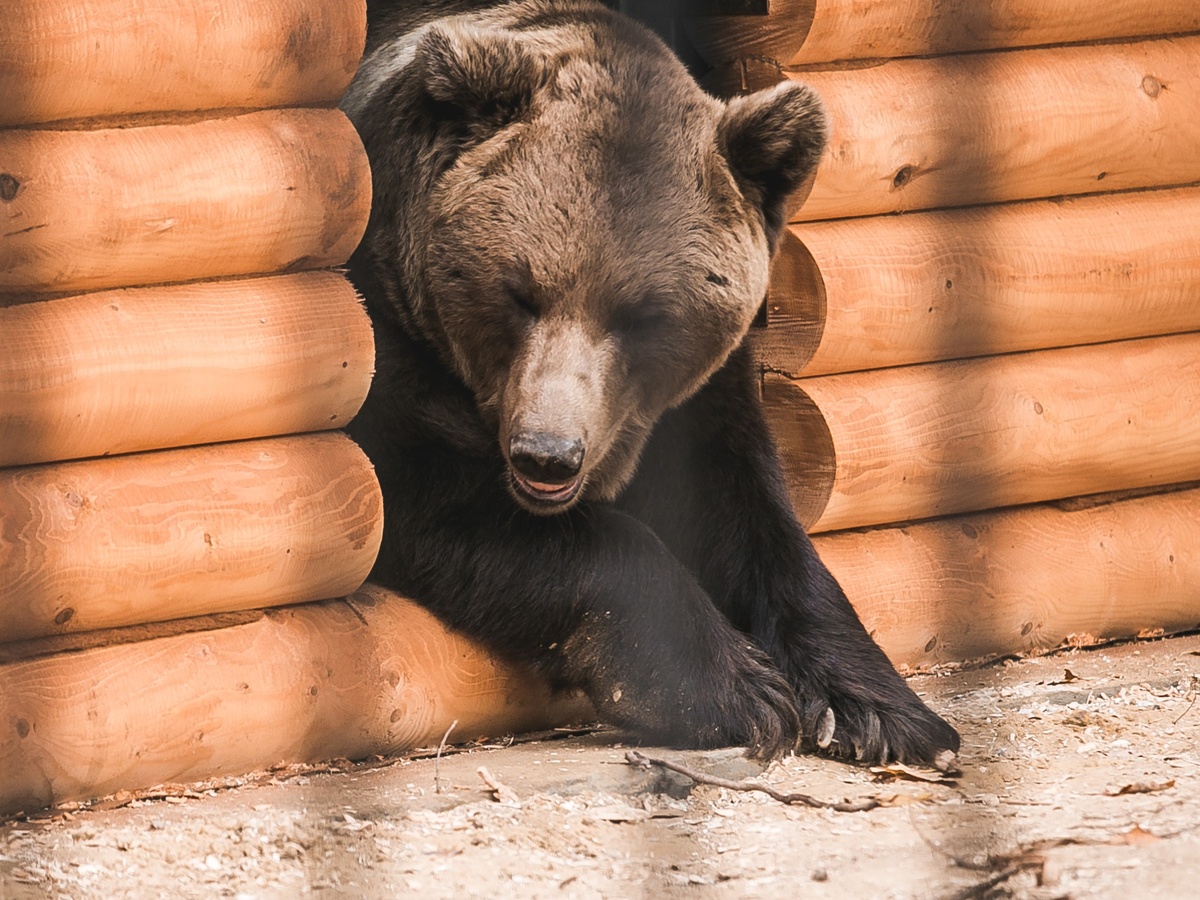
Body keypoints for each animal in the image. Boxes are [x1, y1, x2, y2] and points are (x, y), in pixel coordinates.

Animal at [343, 0, 960, 768]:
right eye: (518, 293)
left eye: (641, 316)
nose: (548, 454)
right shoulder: (393, 346)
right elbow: (436, 496)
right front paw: (740, 691)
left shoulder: (698, 399)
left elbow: (750, 515)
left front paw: (881, 710)